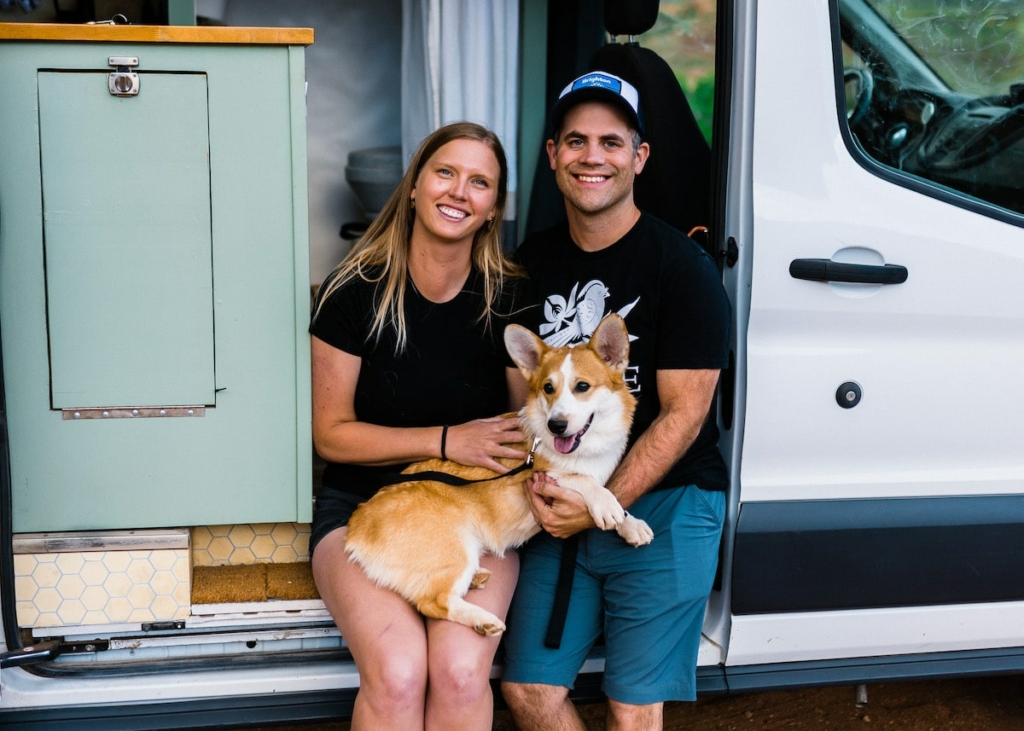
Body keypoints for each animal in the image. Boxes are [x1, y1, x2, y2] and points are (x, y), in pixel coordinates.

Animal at [339, 315, 651, 634]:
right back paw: (483, 620)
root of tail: (356, 529)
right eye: (548, 388)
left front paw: (630, 524)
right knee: (433, 603)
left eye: (582, 386)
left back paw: (476, 580)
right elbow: (582, 479)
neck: (586, 448)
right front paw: (606, 505)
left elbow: (612, 495)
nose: (556, 426)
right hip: (457, 547)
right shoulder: (540, 475)